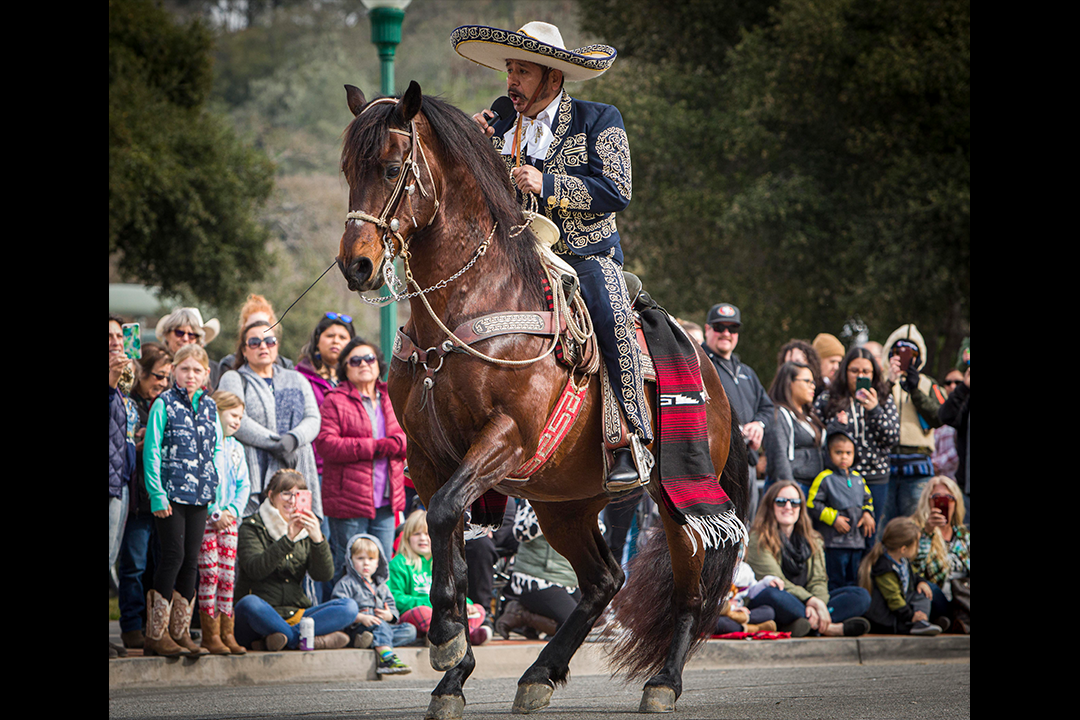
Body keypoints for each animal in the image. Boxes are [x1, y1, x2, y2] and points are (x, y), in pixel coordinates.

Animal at [336, 81, 751, 716]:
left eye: (388, 167)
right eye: (347, 170)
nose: (356, 264)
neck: (468, 306)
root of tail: (713, 372)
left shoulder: (506, 436)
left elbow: (446, 516)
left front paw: (447, 641)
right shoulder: (429, 460)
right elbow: (447, 534)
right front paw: (453, 670)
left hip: (675, 497)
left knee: (688, 587)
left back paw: (662, 682)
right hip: (564, 503)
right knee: (604, 580)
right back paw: (539, 673)